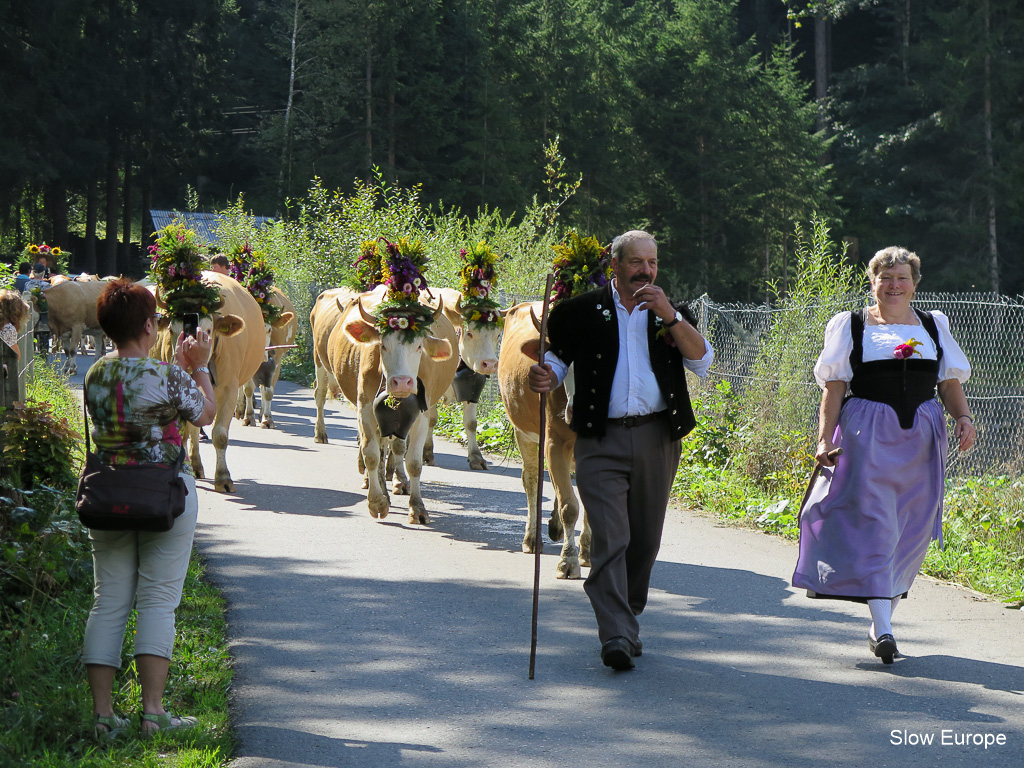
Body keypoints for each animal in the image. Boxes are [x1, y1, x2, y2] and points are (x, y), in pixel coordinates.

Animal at [151, 272, 266, 493]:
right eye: (171, 330)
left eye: (209, 330)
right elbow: (183, 432)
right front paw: (182, 470)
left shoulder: (230, 390)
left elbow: (220, 435)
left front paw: (223, 478)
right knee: (192, 431)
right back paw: (194, 465)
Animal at [239, 290, 299, 434]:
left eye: (269, 330)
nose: (261, 356)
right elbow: (248, 389)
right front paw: (248, 417)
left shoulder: (276, 363)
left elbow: (268, 392)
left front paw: (267, 419)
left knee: (263, 388)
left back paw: (263, 413)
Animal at [315, 286, 456, 528]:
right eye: (383, 345)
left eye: (419, 346)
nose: (402, 382)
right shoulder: (365, 408)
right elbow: (371, 455)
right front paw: (377, 503)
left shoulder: (421, 415)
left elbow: (414, 462)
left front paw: (417, 507)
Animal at [417, 286, 501, 473]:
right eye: (469, 333)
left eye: (498, 335)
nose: (490, 364)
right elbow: (431, 419)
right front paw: (426, 453)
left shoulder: (473, 388)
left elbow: (471, 423)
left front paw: (476, 457)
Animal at [497, 303, 593, 581]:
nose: (577, 412)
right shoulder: (554, 443)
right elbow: (569, 506)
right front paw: (568, 561)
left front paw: (585, 553)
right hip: (524, 431)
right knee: (532, 480)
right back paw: (532, 538)